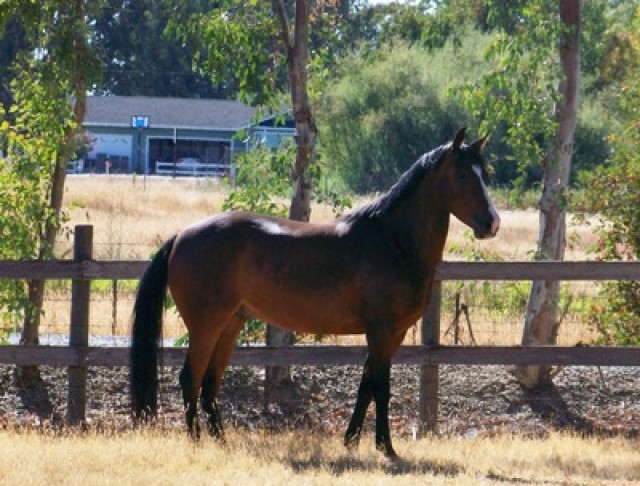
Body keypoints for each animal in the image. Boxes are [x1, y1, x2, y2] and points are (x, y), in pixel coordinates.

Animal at [130, 127, 500, 459]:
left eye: (485, 174)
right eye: (462, 175)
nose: (492, 223)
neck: (391, 241)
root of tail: (182, 235)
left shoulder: (390, 335)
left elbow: (366, 386)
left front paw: (351, 442)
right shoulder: (381, 330)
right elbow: (381, 388)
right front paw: (386, 448)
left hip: (230, 325)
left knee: (209, 383)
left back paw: (221, 443)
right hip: (206, 327)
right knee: (190, 378)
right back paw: (196, 443)